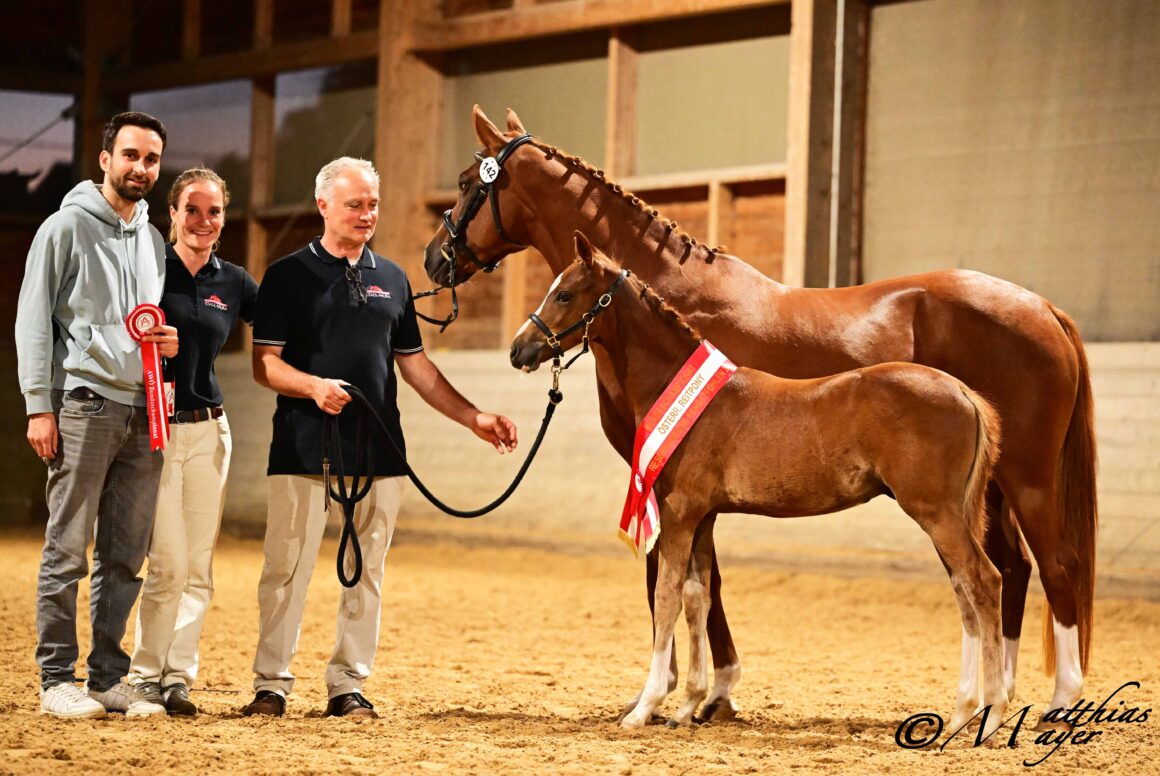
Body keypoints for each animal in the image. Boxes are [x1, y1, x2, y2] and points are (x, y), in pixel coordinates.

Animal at [508, 231, 1006, 733]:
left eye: (565, 294)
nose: (518, 350)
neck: (684, 392)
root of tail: (965, 393)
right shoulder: (704, 517)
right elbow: (698, 598)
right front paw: (688, 706)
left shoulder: (679, 513)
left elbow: (667, 597)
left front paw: (646, 707)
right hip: (946, 515)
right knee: (964, 590)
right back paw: (961, 713)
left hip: (936, 512)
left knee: (983, 581)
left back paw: (993, 714)